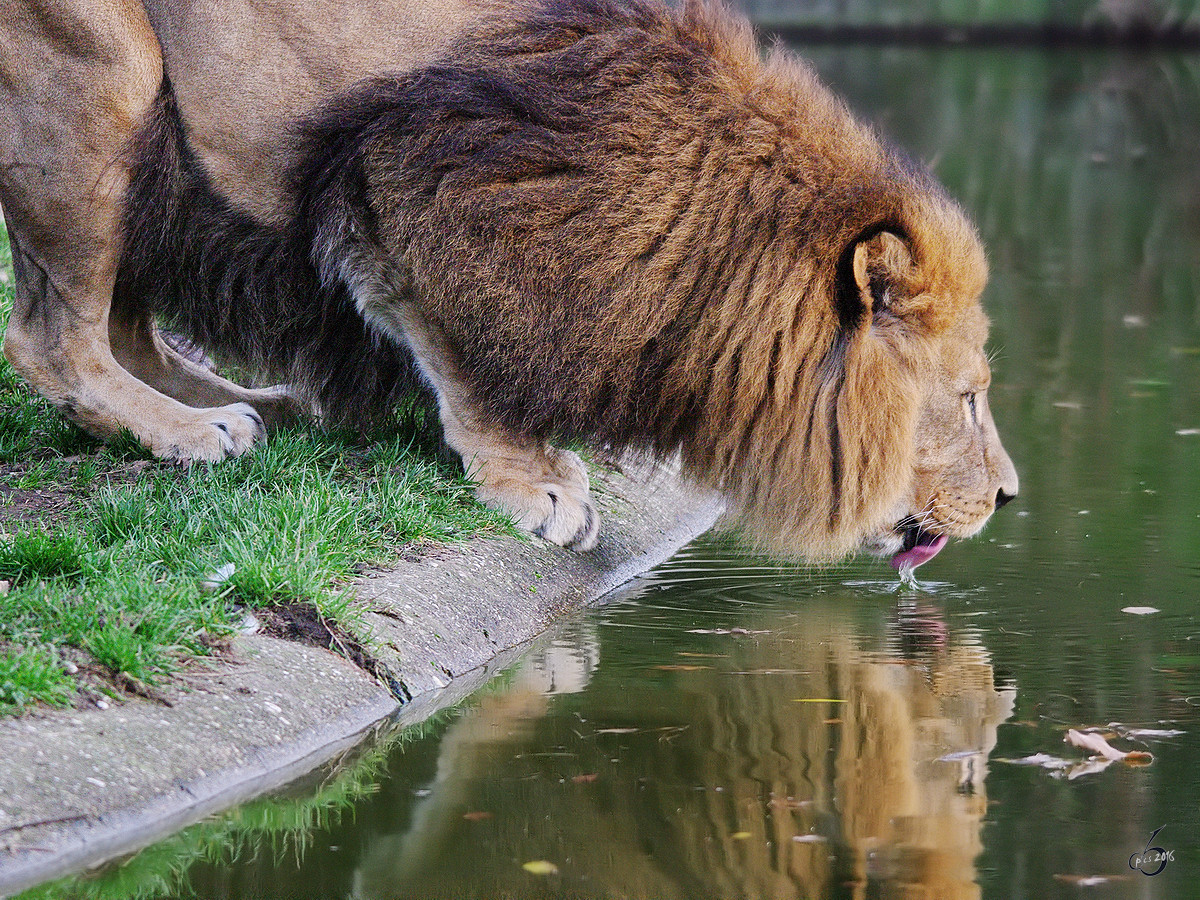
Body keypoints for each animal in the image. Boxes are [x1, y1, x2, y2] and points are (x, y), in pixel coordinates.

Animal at [0, 0, 1012, 564]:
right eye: (967, 399)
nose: (1009, 499)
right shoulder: (407, 180)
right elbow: (459, 351)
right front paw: (539, 484)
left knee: (124, 329)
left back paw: (255, 406)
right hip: (103, 76)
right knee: (53, 339)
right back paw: (189, 432)